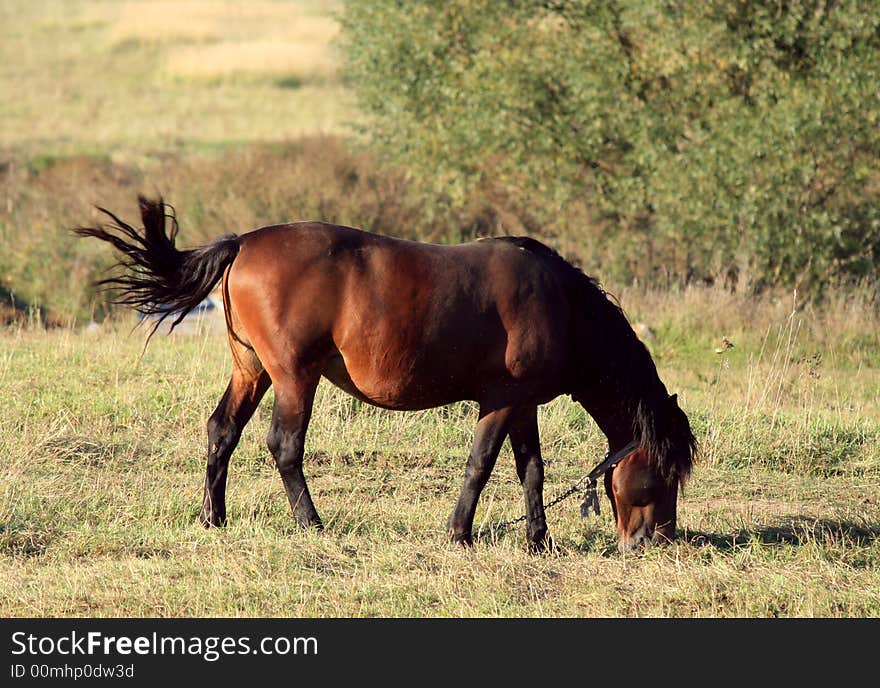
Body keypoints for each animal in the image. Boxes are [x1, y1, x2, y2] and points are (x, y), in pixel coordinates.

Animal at [74, 194, 696, 552]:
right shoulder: (500, 400)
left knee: (221, 432)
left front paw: (538, 541)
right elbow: (480, 466)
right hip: (293, 375)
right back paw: (312, 524)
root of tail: (244, 243)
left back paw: (215, 518)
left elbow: (532, 471)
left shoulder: (522, 405)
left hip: (252, 371)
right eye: (665, 473)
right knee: (284, 446)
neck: (557, 303)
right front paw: (459, 535)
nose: (656, 542)